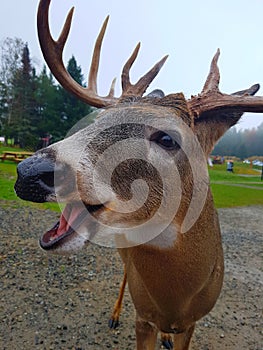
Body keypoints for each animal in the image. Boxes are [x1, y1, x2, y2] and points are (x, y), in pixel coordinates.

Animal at [13, 0, 263, 350]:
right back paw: (115, 314)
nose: (27, 172)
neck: (177, 300)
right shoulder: (143, 316)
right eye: (97, 120)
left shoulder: (193, 322)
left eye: (168, 138)